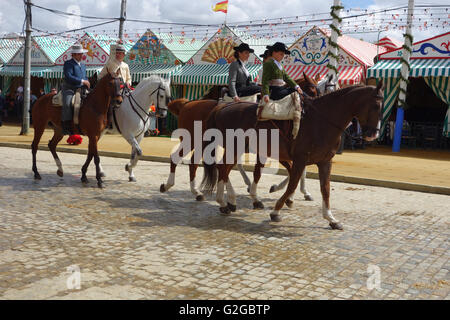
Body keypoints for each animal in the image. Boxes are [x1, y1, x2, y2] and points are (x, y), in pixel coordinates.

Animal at [160, 73, 322, 202]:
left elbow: (297, 170)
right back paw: (171, 186)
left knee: (195, 163)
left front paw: (292, 192)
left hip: (202, 144)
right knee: (179, 158)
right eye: (312, 89)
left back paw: (196, 191)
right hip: (192, 141)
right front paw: (289, 191)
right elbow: (296, 170)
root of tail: (187, 104)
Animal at [201, 81, 384, 229]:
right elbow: (293, 183)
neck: (320, 120)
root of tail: (223, 107)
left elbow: (325, 188)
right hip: (234, 148)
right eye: (376, 105)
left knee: (225, 169)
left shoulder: (324, 161)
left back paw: (231, 201)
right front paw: (276, 211)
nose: (373, 134)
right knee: (224, 169)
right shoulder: (300, 159)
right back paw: (225, 202)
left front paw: (331, 219)